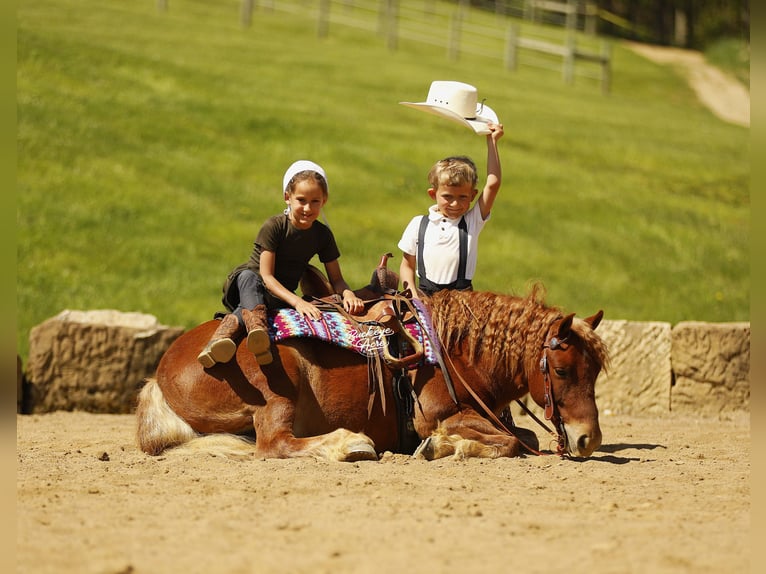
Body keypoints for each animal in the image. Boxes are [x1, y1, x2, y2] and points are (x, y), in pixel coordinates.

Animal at [136, 285, 608, 461]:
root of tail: (161, 374)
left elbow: (523, 437)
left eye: (596, 372)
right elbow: (509, 442)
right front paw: (440, 447)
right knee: (274, 444)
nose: (589, 439)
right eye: (562, 370)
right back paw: (351, 443)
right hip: (279, 390)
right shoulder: (439, 414)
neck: (456, 354)